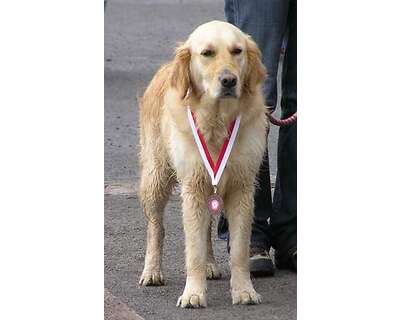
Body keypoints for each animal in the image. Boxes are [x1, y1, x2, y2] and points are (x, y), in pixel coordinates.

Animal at [138, 19, 268, 308]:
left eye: (237, 51)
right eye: (207, 53)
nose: (229, 80)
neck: (217, 120)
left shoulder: (242, 188)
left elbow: (239, 249)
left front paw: (244, 290)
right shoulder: (193, 186)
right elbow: (193, 250)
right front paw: (193, 294)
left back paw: (210, 265)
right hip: (156, 177)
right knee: (155, 228)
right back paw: (152, 271)